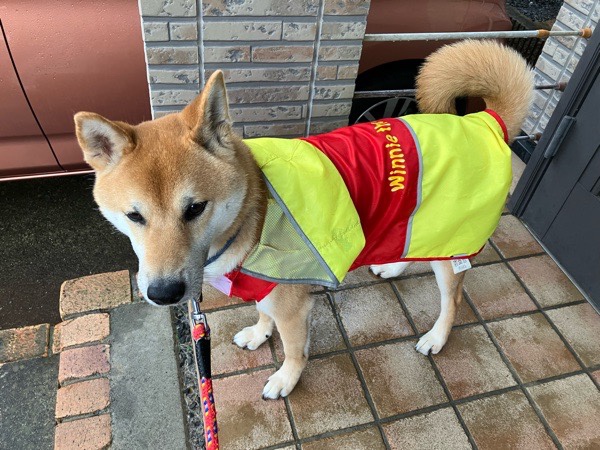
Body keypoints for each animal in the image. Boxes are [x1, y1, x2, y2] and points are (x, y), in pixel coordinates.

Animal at [75, 40, 532, 399]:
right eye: (134, 216)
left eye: (194, 209)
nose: (164, 293)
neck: (254, 215)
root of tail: (485, 121)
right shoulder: (264, 286)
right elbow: (263, 315)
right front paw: (259, 334)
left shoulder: (292, 305)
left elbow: (294, 349)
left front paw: (286, 380)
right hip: (417, 225)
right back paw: (392, 267)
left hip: (452, 245)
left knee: (452, 299)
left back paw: (437, 337)